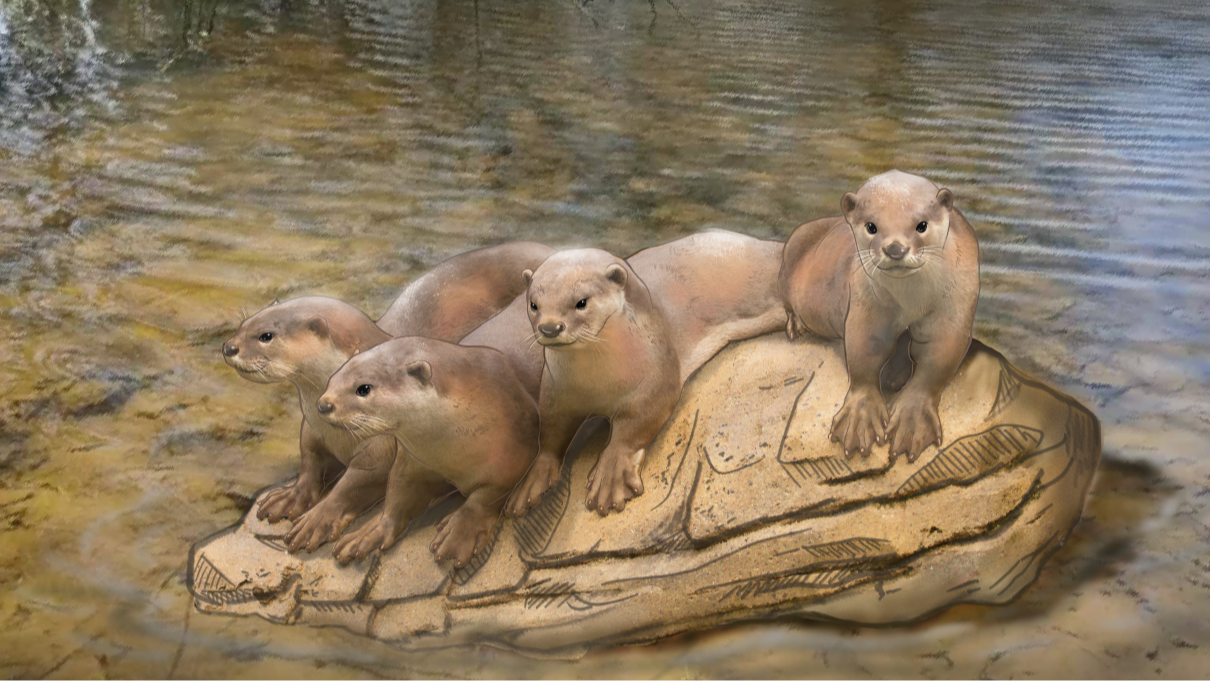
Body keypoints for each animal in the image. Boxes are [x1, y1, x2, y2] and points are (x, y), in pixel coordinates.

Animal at [316, 337, 539, 568]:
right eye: (332, 379)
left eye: (363, 389)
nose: (323, 405)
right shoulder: (410, 462)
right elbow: (397, 494)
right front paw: (372, 532)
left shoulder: (515, 450)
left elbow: (487, 496)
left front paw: (460, 531)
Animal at [505, 231, 786, 517]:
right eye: (533, 304)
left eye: (581, 302)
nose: (550, 327)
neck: (597, 384)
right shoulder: (555, 390)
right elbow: (551, 432)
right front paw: (531, 482)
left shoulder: (657, 374)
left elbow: (637, 422)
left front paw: (610, 476)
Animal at [778, 170, 980, 463]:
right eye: (871, 226)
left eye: (921, 225)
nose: (895, 248)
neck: (910, 299)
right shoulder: (866, 303)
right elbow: (865, 352)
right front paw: (859, 419)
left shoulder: (955, 303)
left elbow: (938, 358)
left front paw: (912, 421)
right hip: (787, 265)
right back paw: (795, 327)